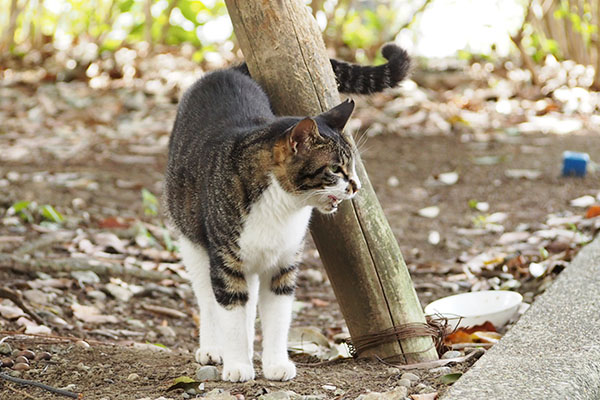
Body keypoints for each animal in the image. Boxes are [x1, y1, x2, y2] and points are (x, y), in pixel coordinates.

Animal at [163, 43, 408, 382]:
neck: (281, 208)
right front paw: (237, 365)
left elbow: (277, 318)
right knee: (208, 297)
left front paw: (275, 363)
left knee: (250, 300)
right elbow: (229, 310)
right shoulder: (226, 262)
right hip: (193, 239)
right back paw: (213, 348)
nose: (356, 187)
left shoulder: (283, 263)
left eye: (354, 165)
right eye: (335, 169)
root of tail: (226, 71)